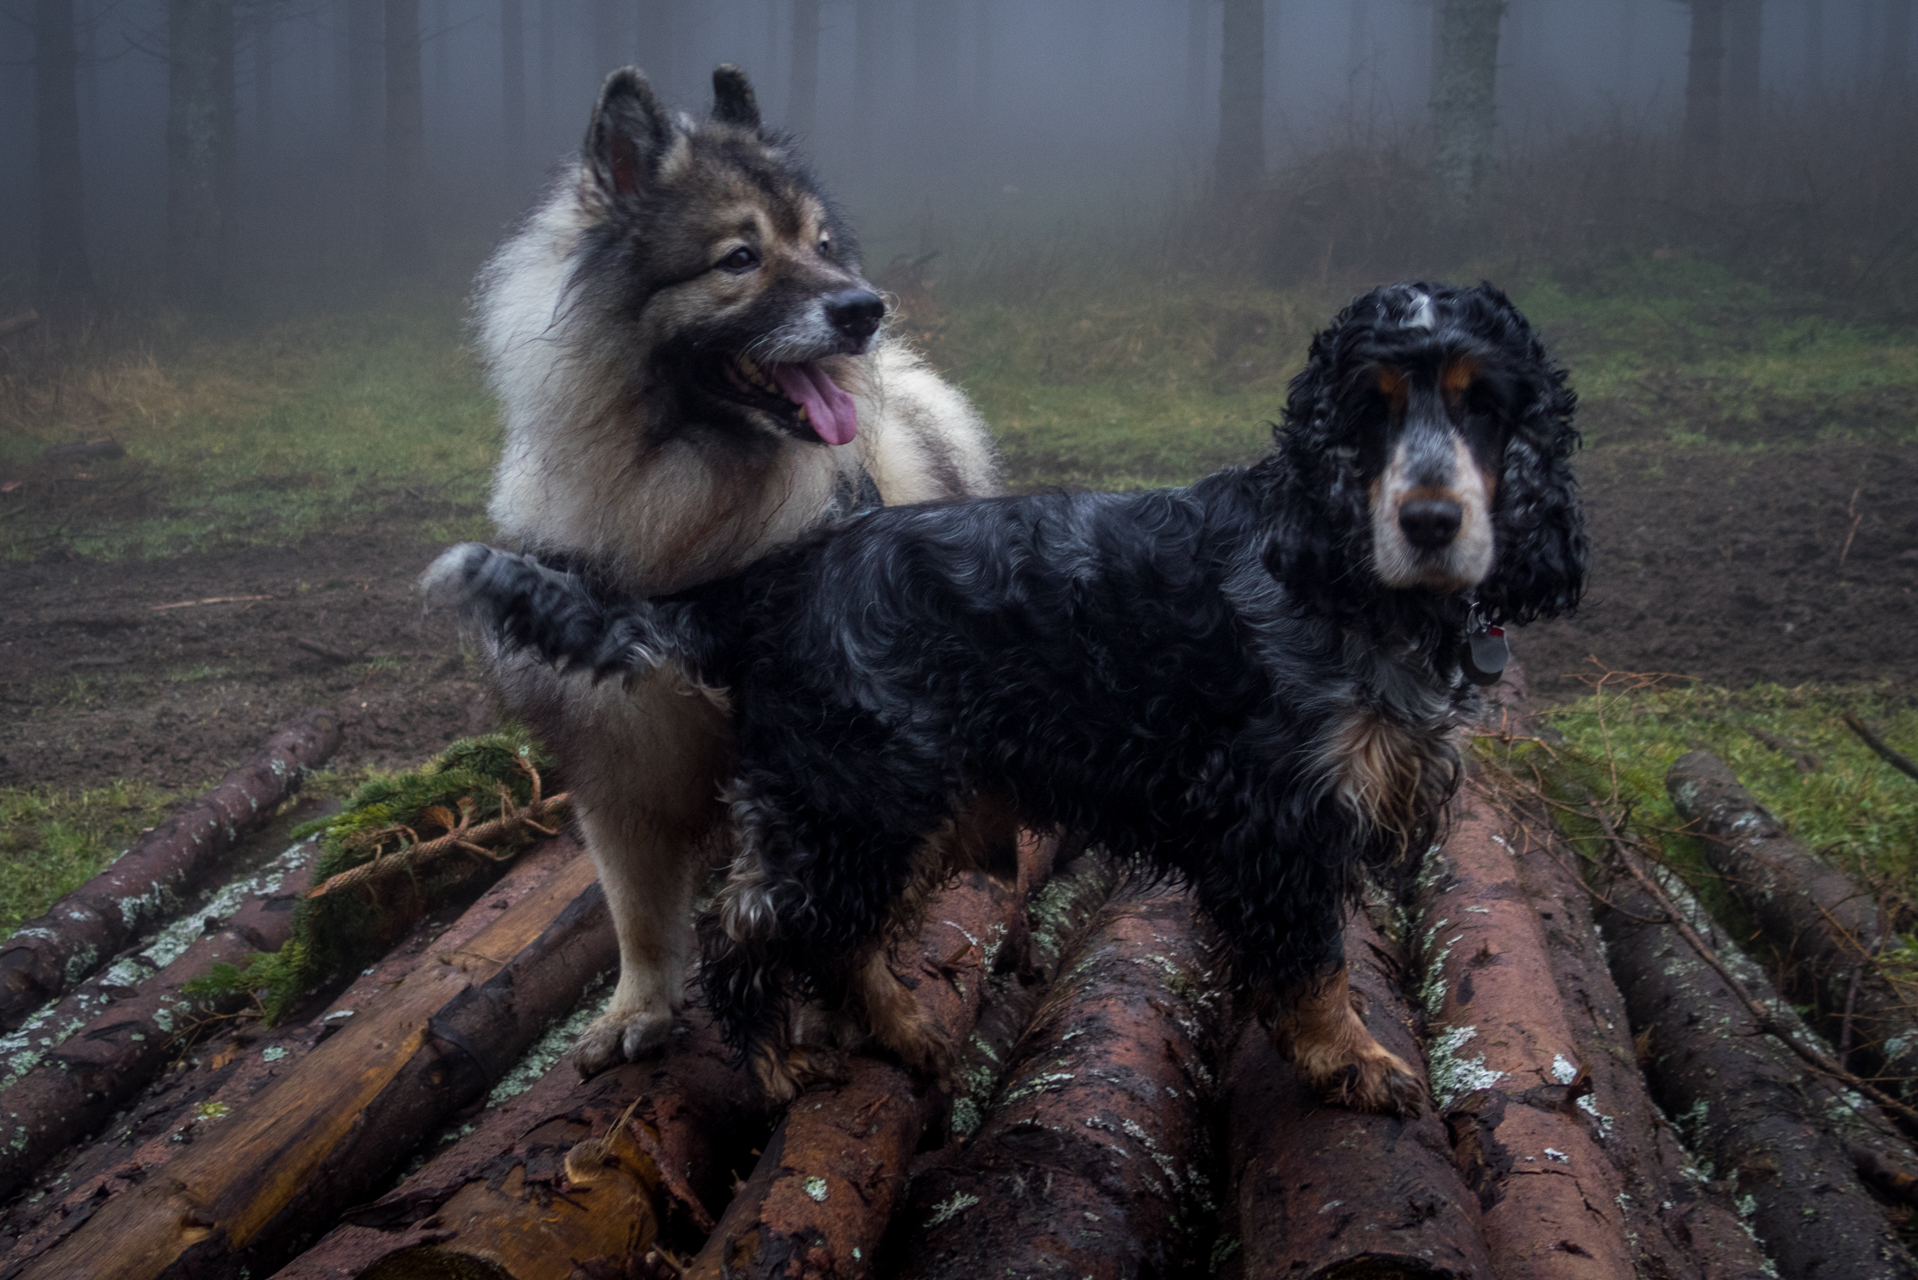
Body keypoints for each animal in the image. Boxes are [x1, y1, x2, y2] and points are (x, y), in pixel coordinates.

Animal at [431, 278, 1588, 1113]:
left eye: (1486, 406)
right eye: (1366, 414)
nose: (1433, 521)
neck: (1346, 576)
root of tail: (767, 586)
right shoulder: (1280, 819)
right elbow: (1316, 966)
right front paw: (1349, 1062)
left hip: (898, 808)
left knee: (837, 940)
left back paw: (905, 1034)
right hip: (852, 802)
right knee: (750, 933)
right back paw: (771, 1068)